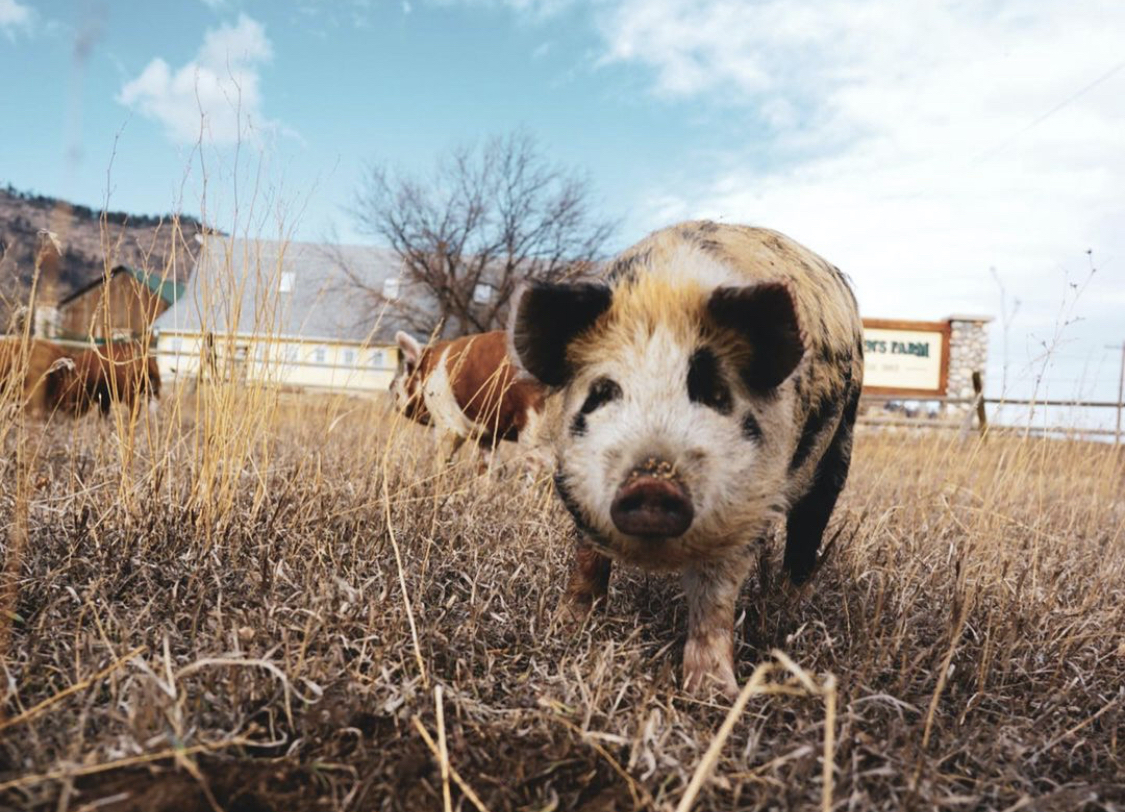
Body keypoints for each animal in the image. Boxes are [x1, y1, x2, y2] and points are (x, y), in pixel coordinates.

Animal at [508, 221, 863, 696]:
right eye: (603, 392)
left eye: (714, 393)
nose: (652, 481)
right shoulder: (571, 480)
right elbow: (587, 556)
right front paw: (565, 628)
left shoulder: (748, 502)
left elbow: (716, 595)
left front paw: (714, 693)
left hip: (840, 444)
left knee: (809, 527)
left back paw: (787, 609)